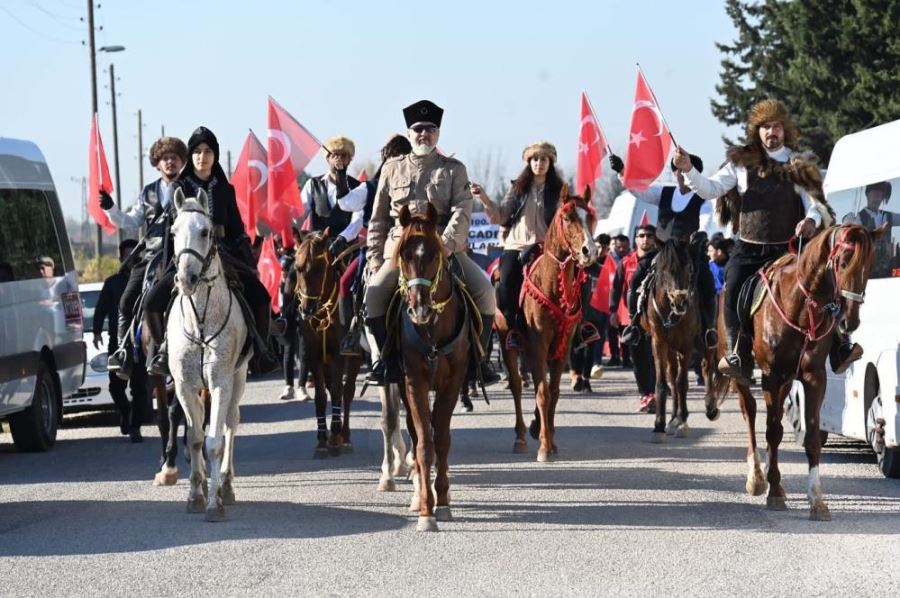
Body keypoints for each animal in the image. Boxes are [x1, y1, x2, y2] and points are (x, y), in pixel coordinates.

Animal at [296, 230, 366, 460]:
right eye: (297, 268)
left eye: (319, 268)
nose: (307, 309)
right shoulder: (314, 354)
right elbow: (320, 396)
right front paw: (321, 440)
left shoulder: (338, 354)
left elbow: (337, 390)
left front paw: (335, 436)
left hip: (354, 358)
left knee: (347, 391)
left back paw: (345, 435)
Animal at [492, 185, 596, 462]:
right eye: (568, 217)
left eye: (591, 216)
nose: (589, 251)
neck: (553, 284)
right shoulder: (538, 343)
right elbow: (542, 392)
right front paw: (545, 447)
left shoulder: (563, 346)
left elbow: (554, 392)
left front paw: (548, 437)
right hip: (509, 342)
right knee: (517, 386)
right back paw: (520, 437)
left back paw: (536, 426)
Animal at [712, 225, 884, 520]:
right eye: (842, 262)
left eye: (870, 264)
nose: (849, 322)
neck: (801, 306)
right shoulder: (771, 375)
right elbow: (771, 431)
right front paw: (772, 490)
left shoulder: (814, 377)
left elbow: (811, 437)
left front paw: (816, 500)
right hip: (743, 372)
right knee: (750, 412)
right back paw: (757, 477)